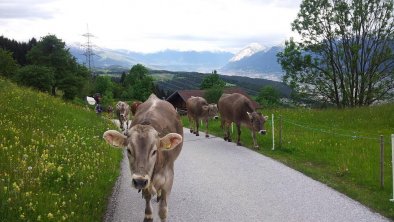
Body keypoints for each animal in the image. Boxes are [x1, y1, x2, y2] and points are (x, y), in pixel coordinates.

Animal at [104, 94, 185, 222]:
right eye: (129, 150)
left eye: (154, 151)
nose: (139, 181)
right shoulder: (146, 182)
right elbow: (147, 202)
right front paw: (148, 215)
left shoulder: (169, 178)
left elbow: (163, 211)